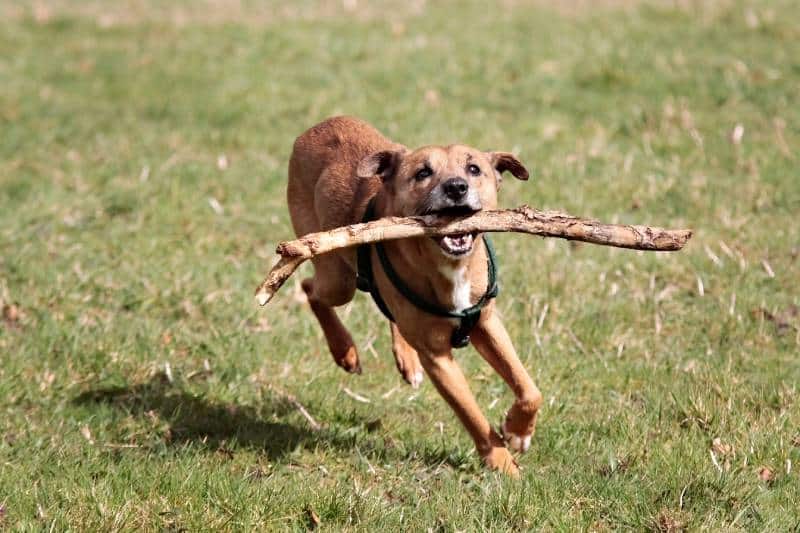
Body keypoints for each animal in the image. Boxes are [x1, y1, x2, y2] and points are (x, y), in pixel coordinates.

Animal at [284, 116, 540, 474]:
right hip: (337, 276)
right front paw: (503, 464)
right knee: (311, 289)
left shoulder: (486, 322)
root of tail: (320, 126)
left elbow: (529, 387)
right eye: (423, 172)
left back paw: (405, 358)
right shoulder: (437, 357)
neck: (449, 265)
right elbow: (471, 413)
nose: (456, 187)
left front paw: (518, 432)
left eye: (474, 168)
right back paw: (344, 350)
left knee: (389, 313)